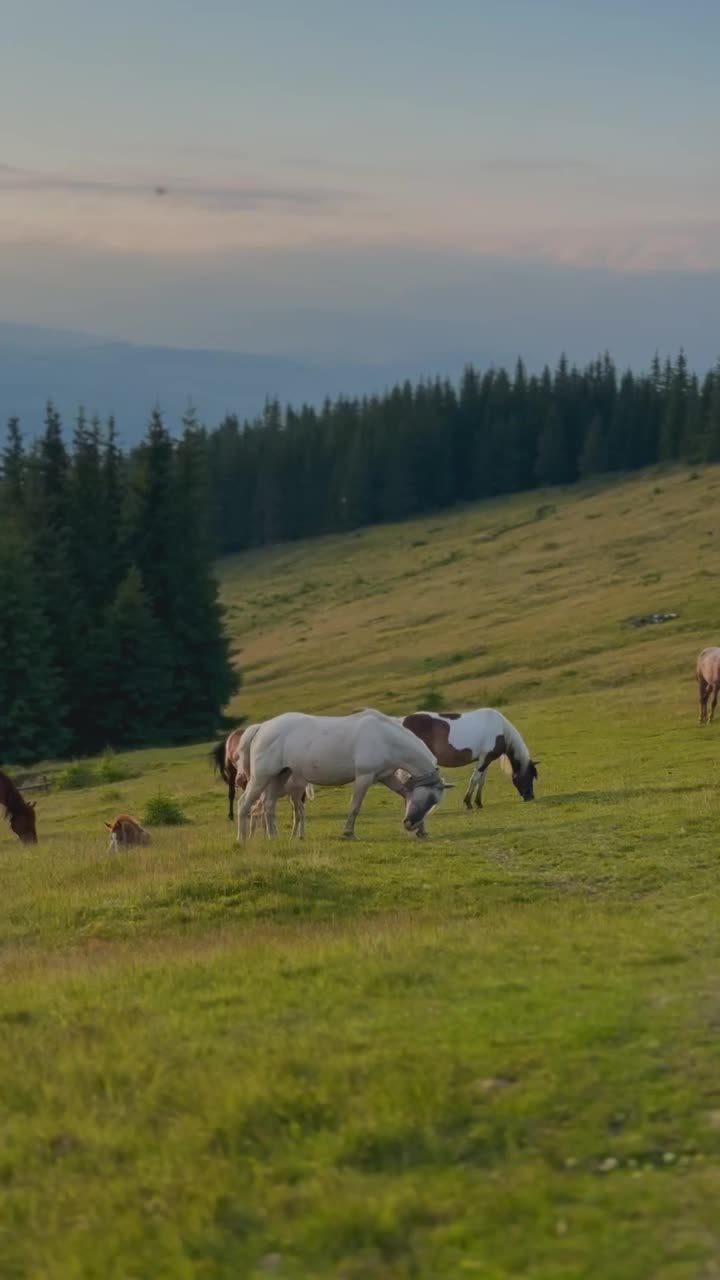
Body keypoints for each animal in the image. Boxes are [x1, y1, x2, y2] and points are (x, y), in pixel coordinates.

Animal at [235, 711, 448, 839]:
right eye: (431, 798)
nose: (411, 825)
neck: (384, 738)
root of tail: (262, 727)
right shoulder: (364, 777)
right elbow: (355, 806)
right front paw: (348, 832)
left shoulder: (386, 777)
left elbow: (406, 794)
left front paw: (422, 829)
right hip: (261, 777)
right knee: (244, 804)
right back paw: (242, 840)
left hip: (278, 777)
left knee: (268, 807)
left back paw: (273, 837)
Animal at [394, 711, 535, 808]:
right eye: (529, 776)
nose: (530, 797)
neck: (501, 730)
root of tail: (402, 721)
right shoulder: (484, 759)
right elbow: (474, 779)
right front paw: (468, 803)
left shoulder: (485, 759)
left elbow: (481, 781)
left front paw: (478, 802)